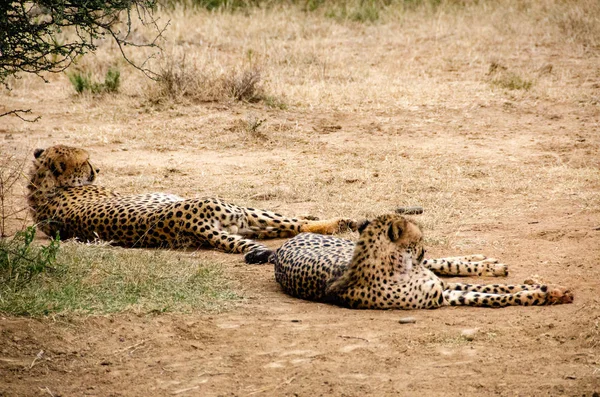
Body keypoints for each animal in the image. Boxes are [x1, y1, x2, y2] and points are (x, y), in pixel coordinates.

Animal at [28, 144, 356, 258]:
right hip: (239, 212)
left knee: (288, 226)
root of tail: (184, 223)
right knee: (294, 224)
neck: (43, 185)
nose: (96, 170)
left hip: (239, 224)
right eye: (85, 161)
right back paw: (346, 221)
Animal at [255, 213, 576, 310]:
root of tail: (282, 247)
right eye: (418, 237)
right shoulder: (442, 296)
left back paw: (484, 261)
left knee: (440, 262)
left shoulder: (439, 287)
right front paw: (544, 293)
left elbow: (496, 289)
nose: (425, 246)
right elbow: (496, 297)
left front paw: (548, 287)